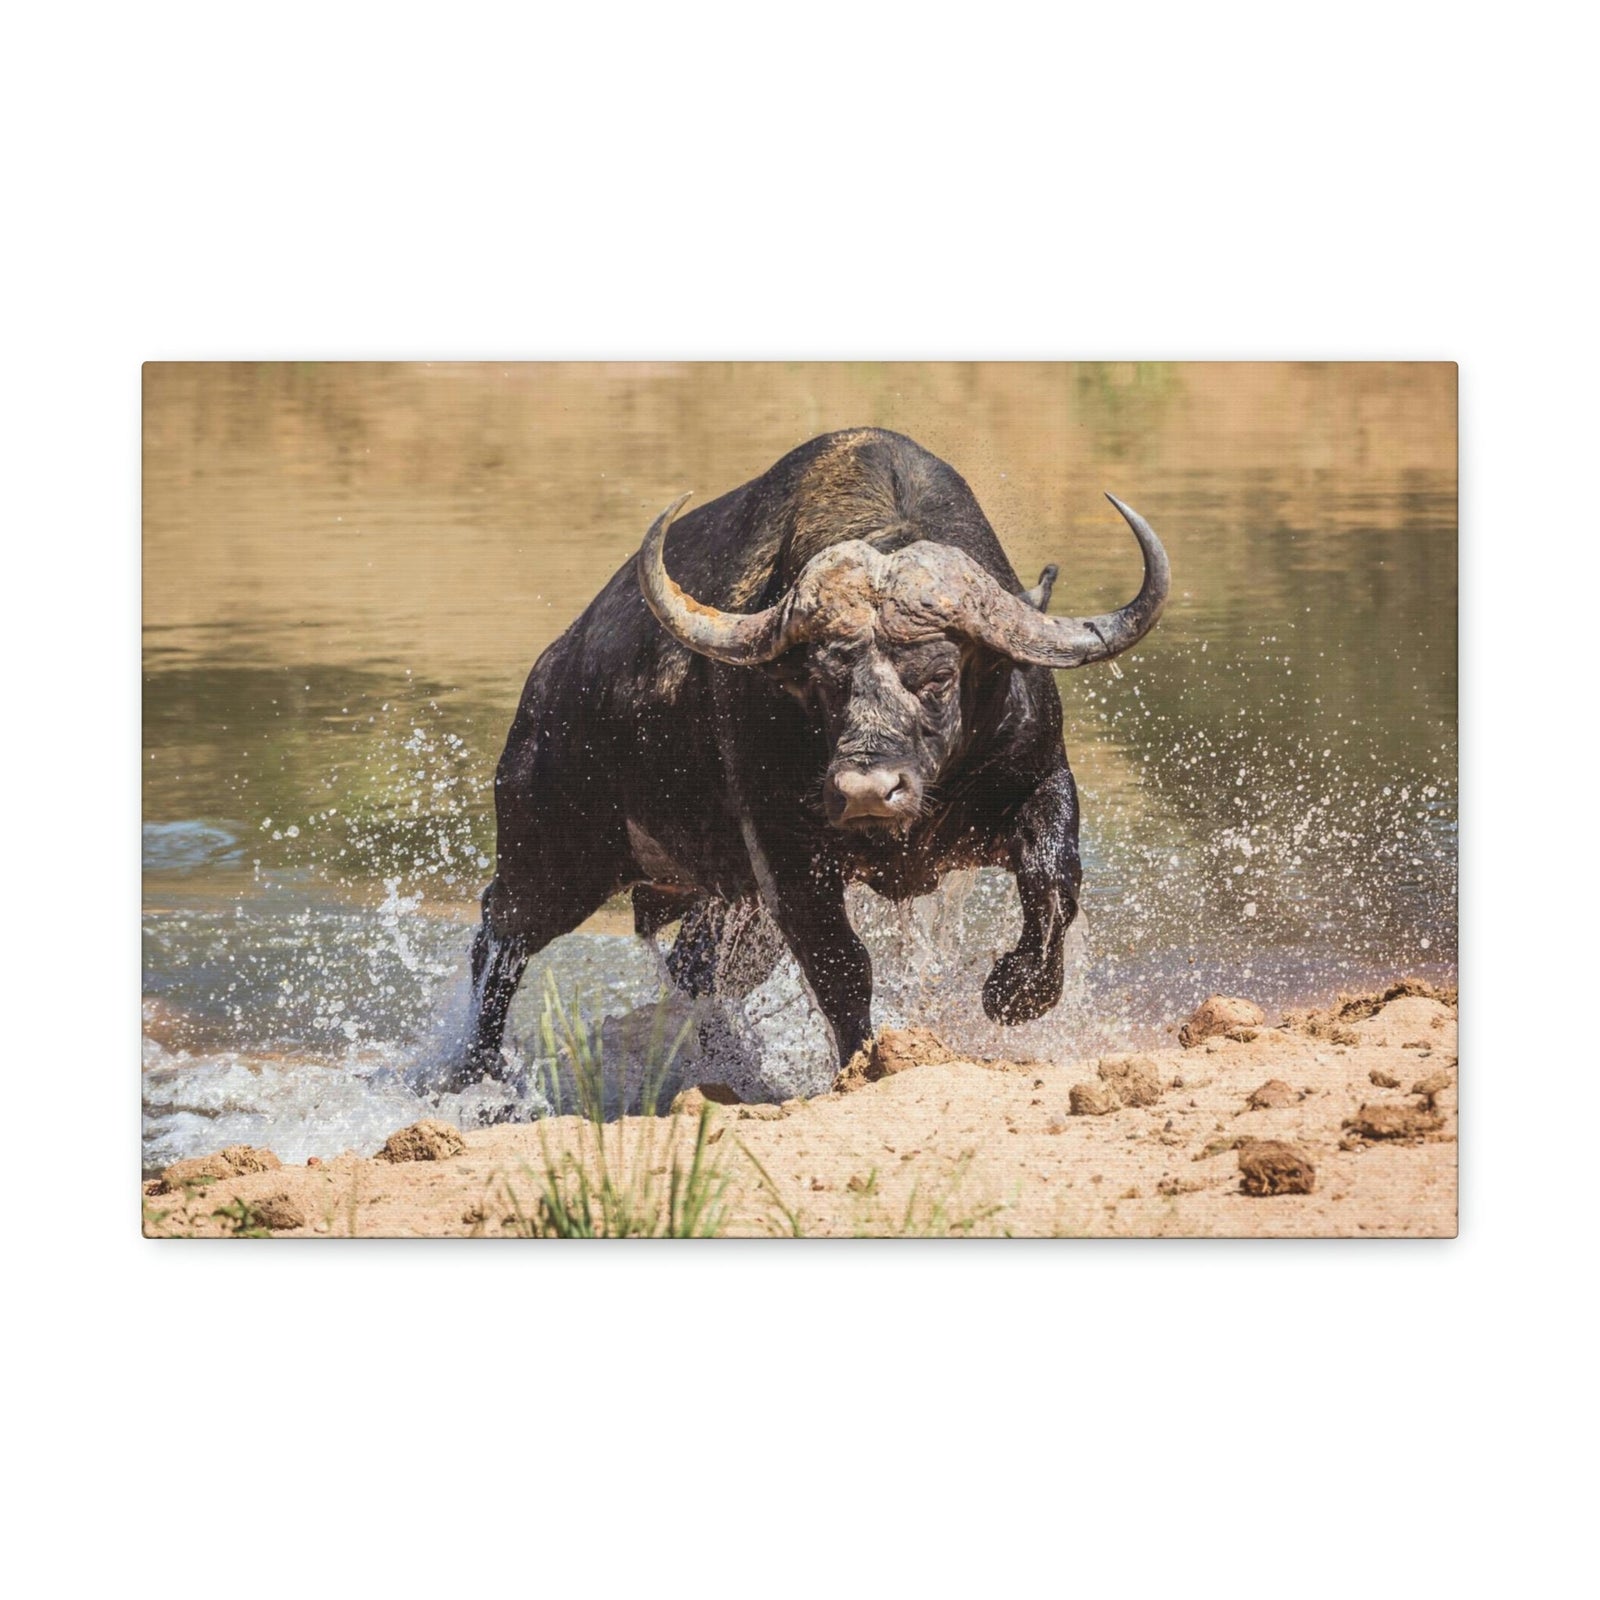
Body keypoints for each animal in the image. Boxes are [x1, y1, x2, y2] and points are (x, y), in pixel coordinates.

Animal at [451, 428, 1169, 1088]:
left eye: (939, 675)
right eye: (822, 683)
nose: (867, 792)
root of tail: (549, 678)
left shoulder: (1038, 780)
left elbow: (1053, 884)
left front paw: (1016, 993)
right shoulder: (785, 852)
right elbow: (841, 966)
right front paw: (865, 1063)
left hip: (721, 901)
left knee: (696, 970)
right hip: (553, 858)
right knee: (499, 940)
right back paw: (477, 1078)